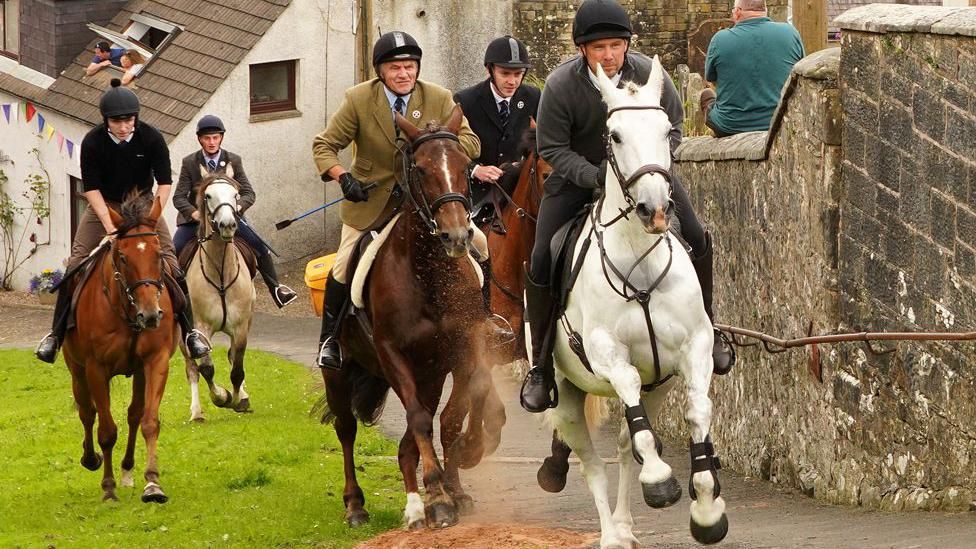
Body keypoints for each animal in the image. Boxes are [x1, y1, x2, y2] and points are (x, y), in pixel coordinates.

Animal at [63, 193, 179, 500]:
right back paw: (91, 459)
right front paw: (108, 488)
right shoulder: (96, 369)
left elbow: (150, 422)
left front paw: (153, 483)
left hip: (138, 372)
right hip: (77, 370)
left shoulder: (156, 361)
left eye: (159, 254)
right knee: (87, 412)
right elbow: (106, 431)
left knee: (134, 415)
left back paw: (127, 470)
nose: (151, 315)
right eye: (123, 258)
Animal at [179, 168, 255, 420]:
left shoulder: (240, 327)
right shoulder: (201, 328)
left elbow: (237, 369)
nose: (228, 224)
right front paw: (222, 397)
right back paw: (196, 412)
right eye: (208, 195)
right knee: (192, 368)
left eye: (235, 194)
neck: (221, 271)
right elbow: (206, 368)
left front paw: (239, 399)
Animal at [322, 105, 504, 528]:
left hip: (430, 373)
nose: (457, 236)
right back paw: (357, 505)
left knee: (414, 433)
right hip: (340, 372)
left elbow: (450, 419)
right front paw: (437, 496)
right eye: (419, 169)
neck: (429, 276)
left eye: (465, 164)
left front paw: (453, 488)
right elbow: (421, 420)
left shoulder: (462, 351)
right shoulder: (393, 355)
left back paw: (419, 500)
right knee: (346, 428)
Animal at [544, 57, 728, 544]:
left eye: (666, 130)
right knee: (592, 463)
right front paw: (661, 481)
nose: (655, 210)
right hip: (564, 396)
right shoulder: (608, 352)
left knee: (627, 447)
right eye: (616, 136)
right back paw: (611, 533)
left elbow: (697, 412)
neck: (640, 264)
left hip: (657, 387)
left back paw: (627, 526)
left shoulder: (694, 347)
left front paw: (707, 509)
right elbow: (626, 391)